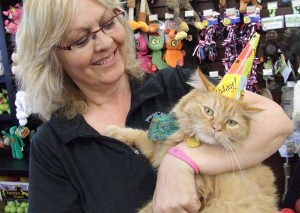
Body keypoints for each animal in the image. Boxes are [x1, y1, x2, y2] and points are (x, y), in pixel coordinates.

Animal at [105, 69, 278, 212]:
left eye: (231, 123)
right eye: (208, 111)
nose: (216, 128)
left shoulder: (194, 196)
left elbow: (148, 209)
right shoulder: (159, 148)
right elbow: (138, 134)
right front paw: (112, 131)